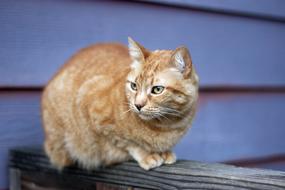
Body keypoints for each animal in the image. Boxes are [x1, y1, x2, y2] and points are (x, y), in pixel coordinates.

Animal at [41, 37, 197, 171]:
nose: (138, 105)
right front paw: (147, 154)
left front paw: (165, 152)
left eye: (157, 90)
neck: (166, 125)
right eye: (134, 86)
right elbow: (128, 143)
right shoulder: (95, 109)